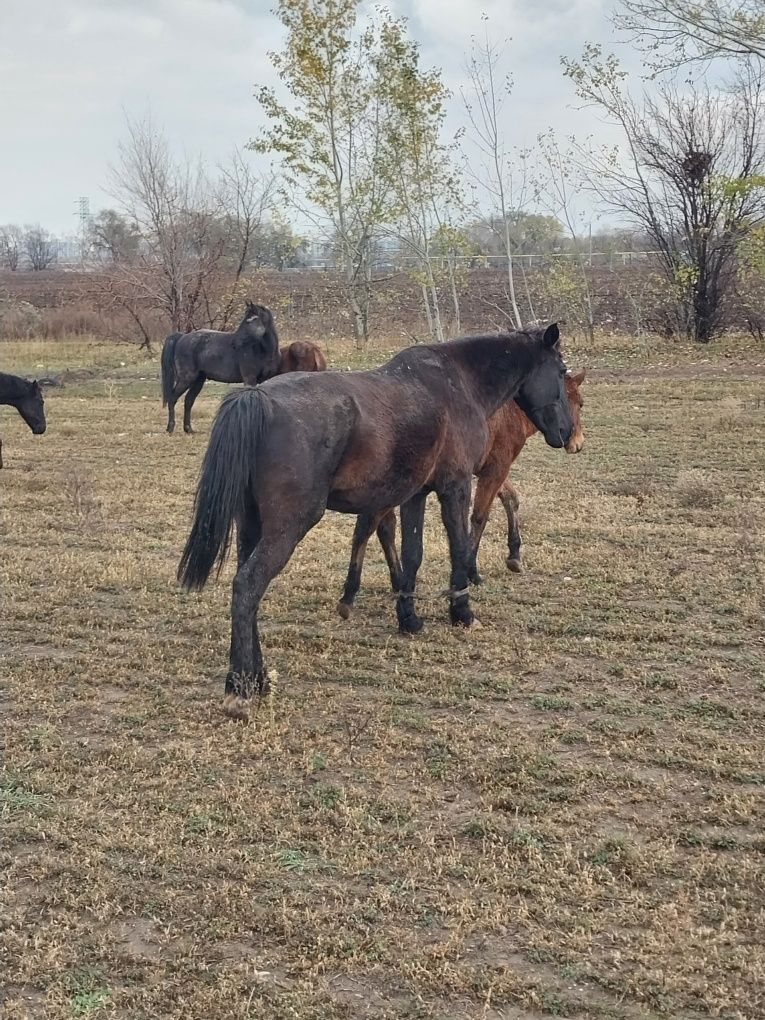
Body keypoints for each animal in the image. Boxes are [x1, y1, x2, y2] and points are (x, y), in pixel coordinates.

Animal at [162, 299, 281, 432]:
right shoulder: (249, 379)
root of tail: (182, 336)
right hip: (186, 379)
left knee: (189, 401)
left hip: (198, 380)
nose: (235, 342)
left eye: (250, 320)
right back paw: (170, 428)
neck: (261, 351)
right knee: (173, 398)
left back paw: (188, 429)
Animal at [336, 371, 587, 616]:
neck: (510, 411)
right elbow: (479, 517)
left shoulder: (490, 471)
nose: (576, 443)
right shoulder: (495, 470)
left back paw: (397, 583)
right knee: (370, 526)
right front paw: (471, 572)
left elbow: (510, 499)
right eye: (580, 403)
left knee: (383, 526)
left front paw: (514, 556)